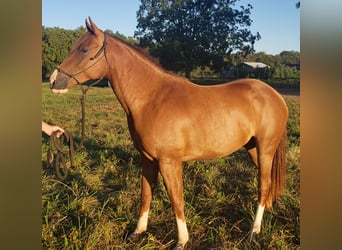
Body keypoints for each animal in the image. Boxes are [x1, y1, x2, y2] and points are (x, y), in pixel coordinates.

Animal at [49, 17, 288, 248]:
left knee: (262, 186)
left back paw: (253, 233)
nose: (53, 81)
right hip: (253, 149)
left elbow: (176, 199)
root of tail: (275, 95)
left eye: (84, 49)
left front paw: (182, 241)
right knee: (267, 186)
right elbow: (146, 194)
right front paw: (138, 232)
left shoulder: (169, 162)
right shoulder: (147, 159)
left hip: (265, 149)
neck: (151, 98)